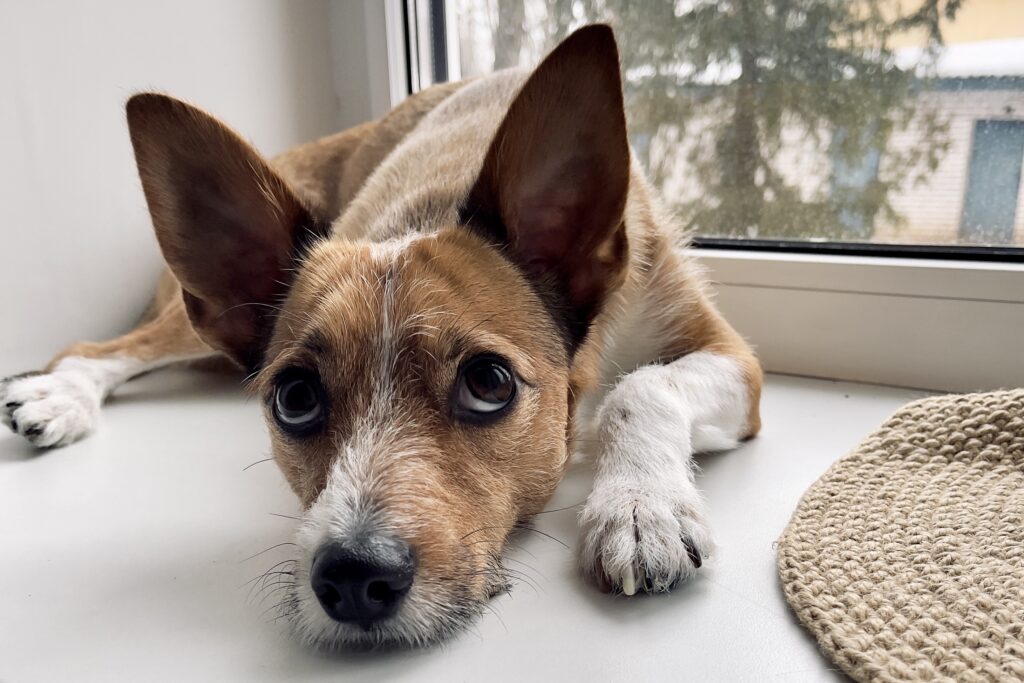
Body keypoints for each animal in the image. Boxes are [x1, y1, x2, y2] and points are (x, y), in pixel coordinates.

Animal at [0, 24, 757, 651]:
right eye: (295, 397)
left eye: (488, 382)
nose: (352, 577)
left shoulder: (732, 358)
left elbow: (641, 385)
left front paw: (639, 505)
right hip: (187, 325)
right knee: (95, 349)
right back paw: (57, 396)